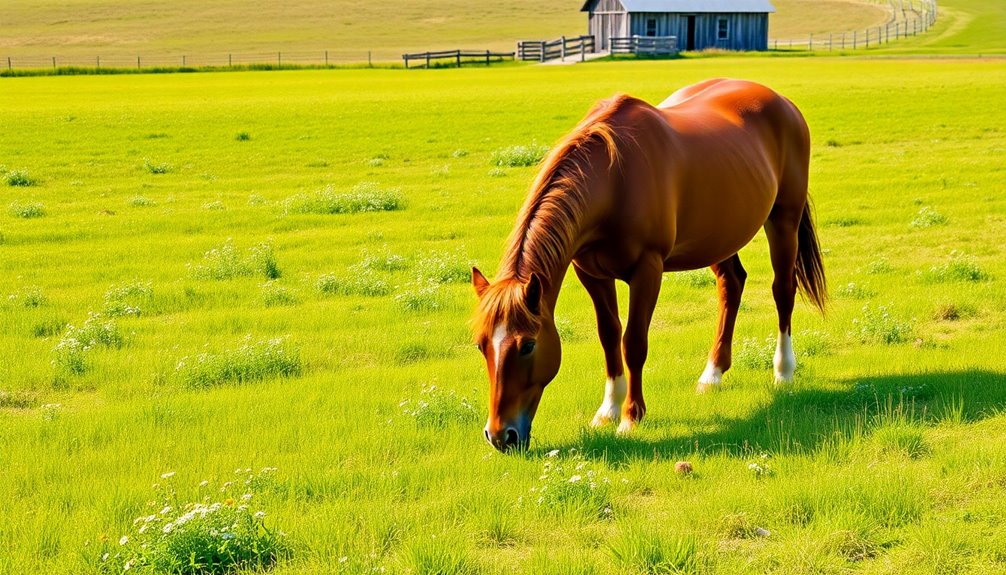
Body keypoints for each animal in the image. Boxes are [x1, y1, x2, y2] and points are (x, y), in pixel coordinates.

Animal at [470, 78, 824, 452]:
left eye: (528, 345)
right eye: (481, 344)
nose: (500, 435)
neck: (613, 179)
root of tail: (781, 101)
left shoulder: (647, 270)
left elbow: (634, 342)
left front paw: (630, 417)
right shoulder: (591, 274)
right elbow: (609, 336)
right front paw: (608, 410)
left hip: (784, 219)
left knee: (783, 290)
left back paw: (783, 371)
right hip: (720, 234)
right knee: (732, 285)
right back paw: (712, 374)